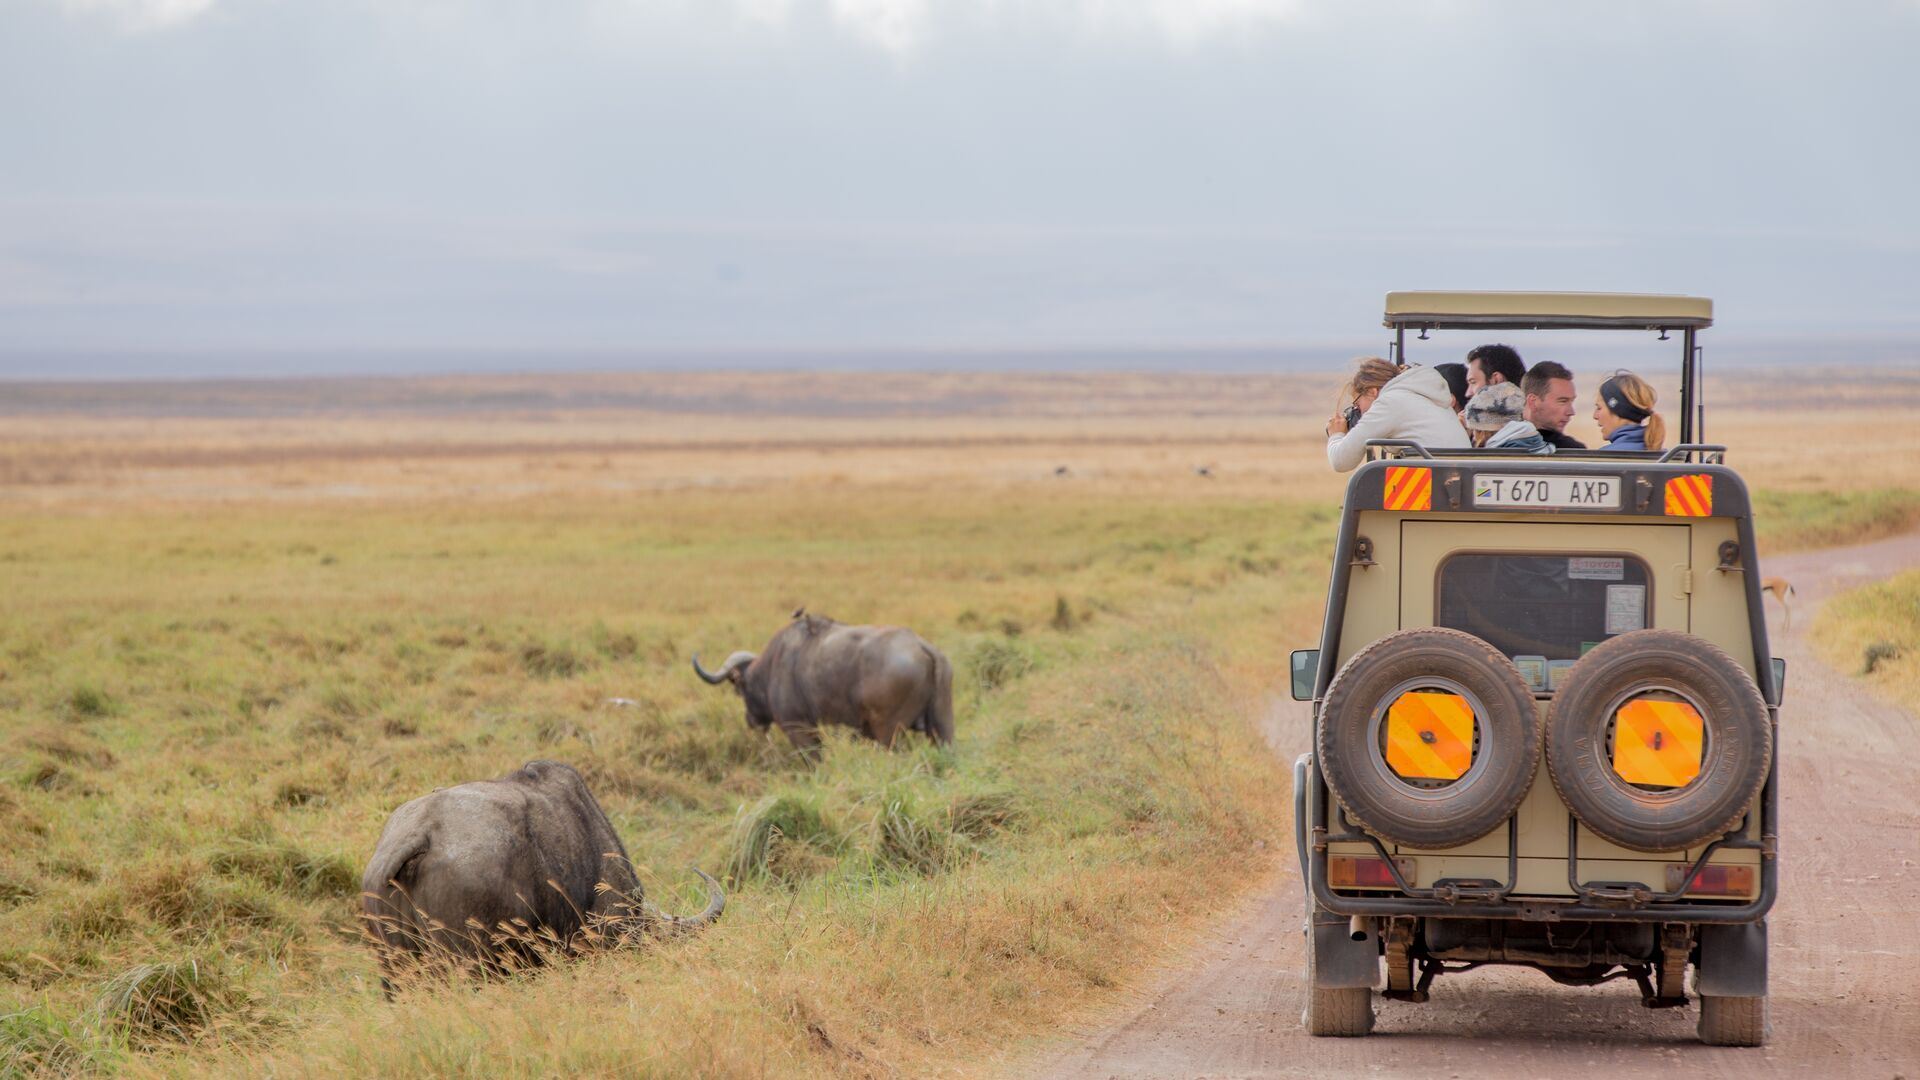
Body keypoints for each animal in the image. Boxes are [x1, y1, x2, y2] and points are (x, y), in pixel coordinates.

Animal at [698, 607, 952, 749]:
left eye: (739, 687)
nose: (751, 720)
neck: (771, 668)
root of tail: (922, 646)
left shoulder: (799, 730)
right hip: (943, 730)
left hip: (888, 732)